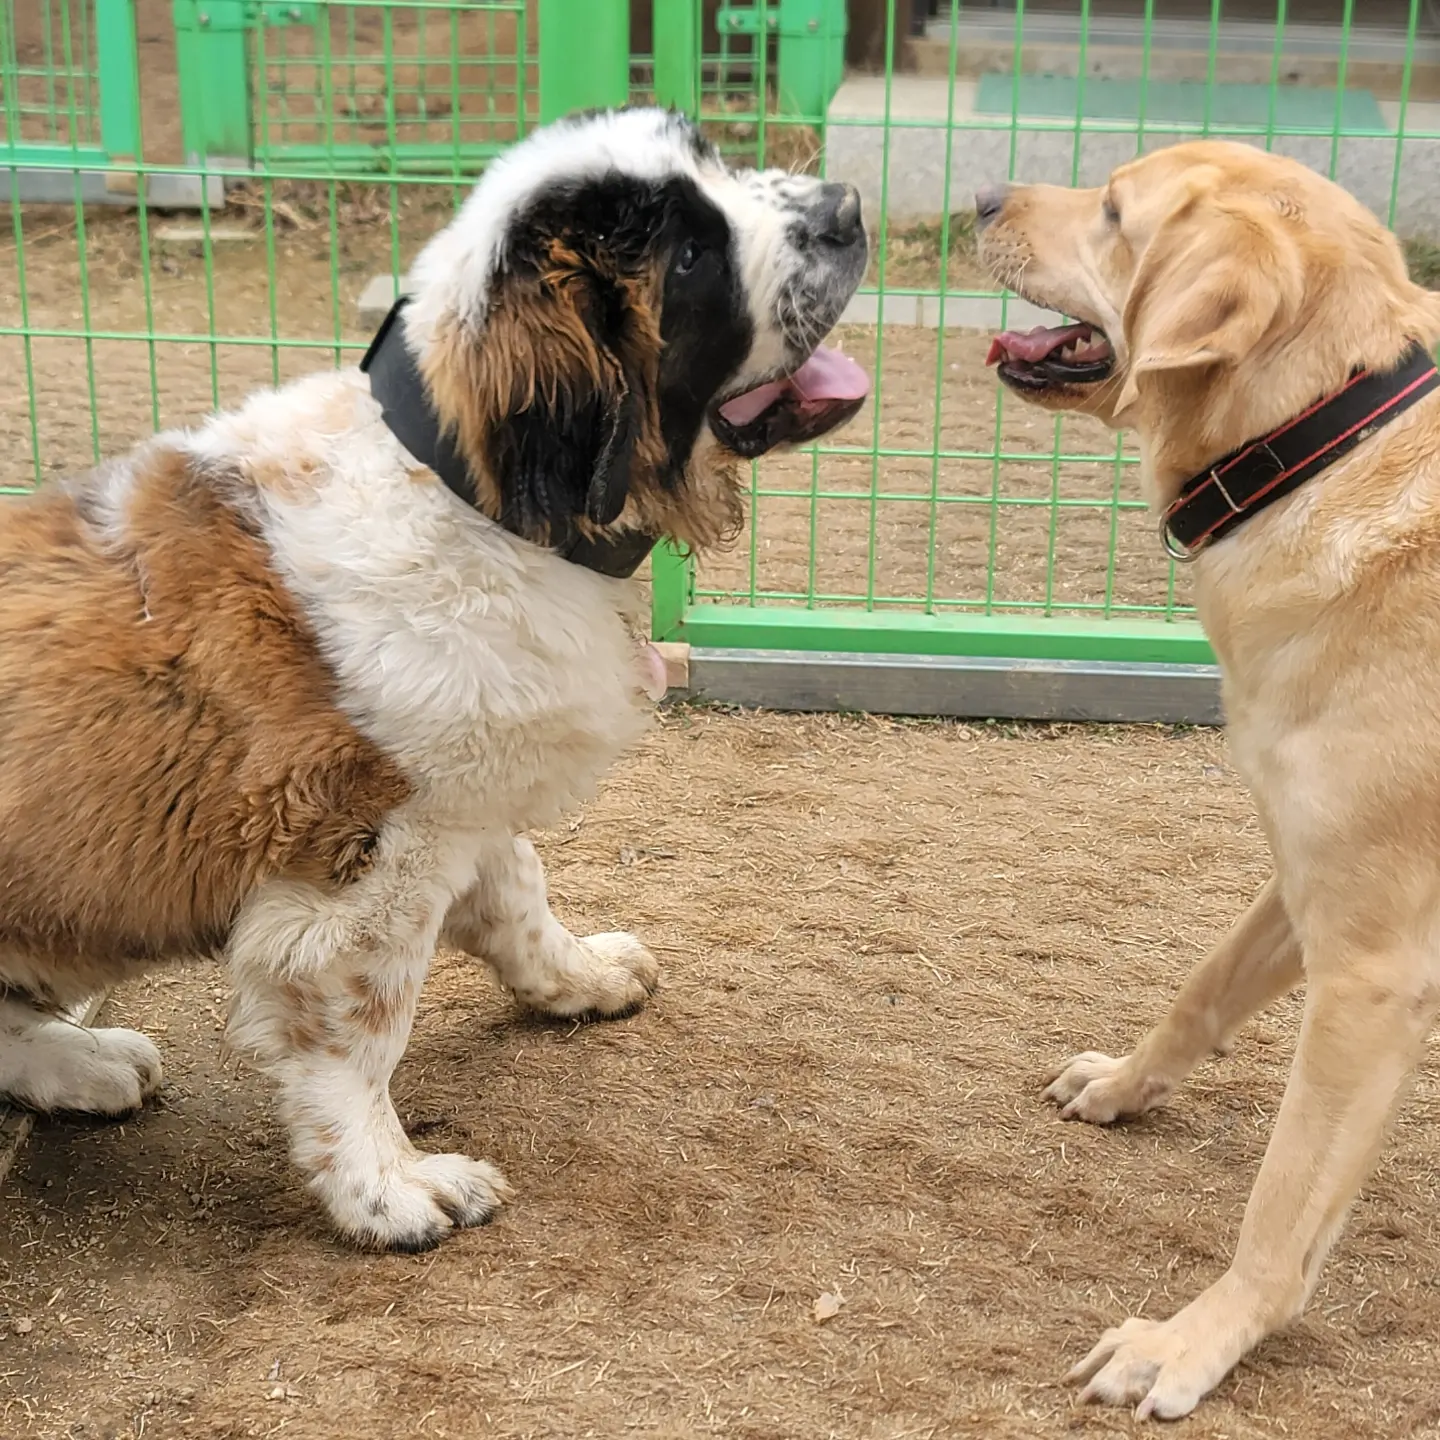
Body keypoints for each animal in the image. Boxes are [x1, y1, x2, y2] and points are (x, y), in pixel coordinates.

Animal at [0, 107, 868, 1250]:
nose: (848, 207)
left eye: (711, 158)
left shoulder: (467, 795)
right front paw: (386, 1187)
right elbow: (361, 1036)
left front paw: (578, 979)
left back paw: (78, 1061)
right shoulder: (362, 868)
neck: (470, 492)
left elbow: (521, 896)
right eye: (691, 256)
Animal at [976, 140, 1440, 1417]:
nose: (979, 197)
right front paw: (1125, 1086)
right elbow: (1201, 990)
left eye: (1114, 212)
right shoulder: (1305, 876)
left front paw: (1190, 1341)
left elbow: (1281, 1208)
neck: (1322, 442)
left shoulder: (1373, 976)